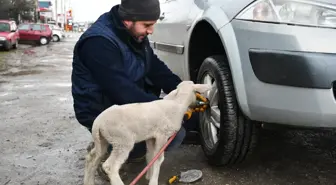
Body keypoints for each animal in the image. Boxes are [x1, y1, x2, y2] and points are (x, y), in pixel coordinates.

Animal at [83, 80, 211, 185]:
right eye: (196, 92)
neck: (178, 102)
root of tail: (98, 123)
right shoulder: (162, 135)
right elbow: (158, 159)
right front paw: (153, 181)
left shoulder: (151, 137)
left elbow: (150, 156)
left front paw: (149, 176)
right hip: (122, 141)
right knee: (110, 166)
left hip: (103, 139)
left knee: (92, 157)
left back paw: (88, 182)